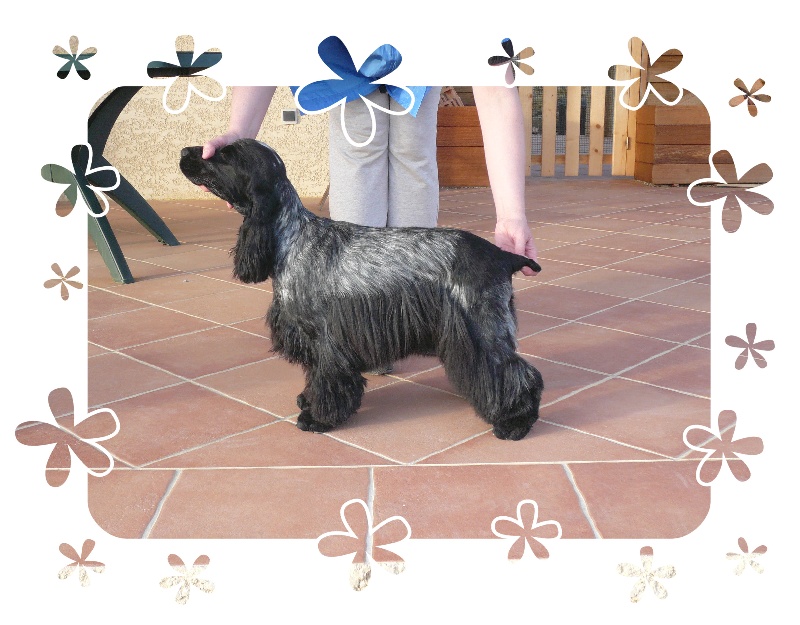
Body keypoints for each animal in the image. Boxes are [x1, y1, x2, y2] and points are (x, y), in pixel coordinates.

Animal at [179, 139, 544, 440]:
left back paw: (515, 423)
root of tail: (502, 255)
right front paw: (307, 400)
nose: (184, 152)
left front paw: (317, 417)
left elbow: (328, 377)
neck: (293, 236)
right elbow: (314, 375)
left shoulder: (324, 337)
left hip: (482, 327)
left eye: (226, 155)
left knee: (514, 372)